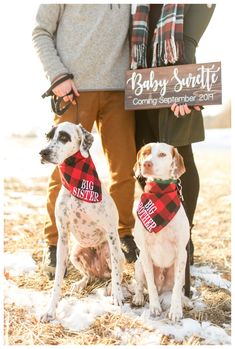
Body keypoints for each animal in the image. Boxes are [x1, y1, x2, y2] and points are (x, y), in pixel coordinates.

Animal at [40, 121, 125, 320]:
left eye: (64, 137)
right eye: (48, 136)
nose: (43, 152)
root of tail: (99, 271)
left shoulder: (111, 234)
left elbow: (117, 275)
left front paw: (118, 296)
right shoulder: (63, 238)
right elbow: (57, 279)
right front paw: (50, 309)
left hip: (114, 253)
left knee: (115, 273)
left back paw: (111, 288)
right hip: (75, 253)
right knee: (88, 276)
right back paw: (79, 284)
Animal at [132, 142, 189, 320]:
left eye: (163, 154)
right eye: (145, 153)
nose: (146, 164)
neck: (160, 193)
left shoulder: (181, 253)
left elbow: (177, 288)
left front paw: (176, 310)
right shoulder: (145, 253)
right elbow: (150, 284)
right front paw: (155, 307)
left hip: (183, 268)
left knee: (177, 287)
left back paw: (185, 300)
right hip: (138, 264)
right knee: (141, 285)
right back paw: (138, 297)